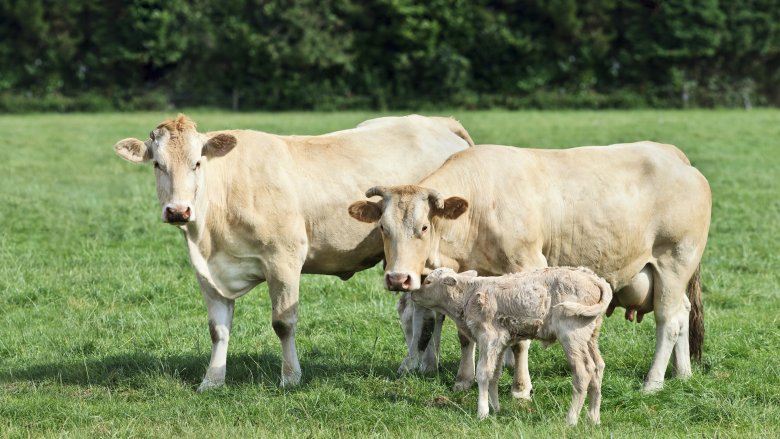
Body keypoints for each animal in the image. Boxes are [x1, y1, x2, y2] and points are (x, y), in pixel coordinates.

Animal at [112, 114, 472, 392]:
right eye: (157, 164)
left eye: (196, 163)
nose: (178, 210)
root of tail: (438, 122)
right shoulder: (208, 272)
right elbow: (218, 329)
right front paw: (212, 381)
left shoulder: (283, 259)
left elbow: (283, 323)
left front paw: (290, 377)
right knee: (417, 311)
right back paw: (420, 364)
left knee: (428, 313)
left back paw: (419, 364)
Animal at [350, 143, 716, 394]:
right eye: (383, 227)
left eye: (424, 227)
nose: (398, 278)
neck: (479, 207)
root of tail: (672, 154)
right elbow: (465, 335)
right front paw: (464, 380)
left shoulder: (527, 268)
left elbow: (521, 341)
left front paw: (520, 387)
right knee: (683, 312)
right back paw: (682, 373)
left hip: (674, 261)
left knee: (669, 322)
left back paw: (653, 382)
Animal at [418, 266, 612, 424]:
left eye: (428, 281)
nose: (413, 294)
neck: (469, 295)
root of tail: (593, 278)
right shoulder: (501, 341)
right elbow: (495, 374)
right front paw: (495, 409)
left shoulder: (488, 337)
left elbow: (483, 373)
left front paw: (482, 412)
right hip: (590, 336)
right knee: (598, 367)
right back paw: (593, 419)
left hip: (572, 334)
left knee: (583, 371)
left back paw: (571, 420)